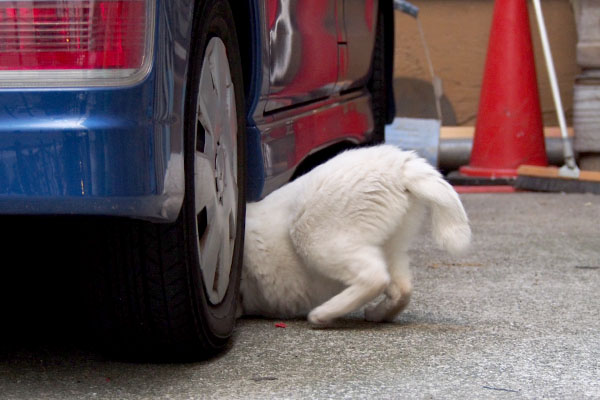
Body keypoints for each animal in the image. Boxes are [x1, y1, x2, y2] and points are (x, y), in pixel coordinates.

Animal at [238, 145, 468, 326]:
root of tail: (399, 164)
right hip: (391, 249)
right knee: (401, 289)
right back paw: (377, 314)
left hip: (314, 239)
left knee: (374, 277)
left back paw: (322, 314)